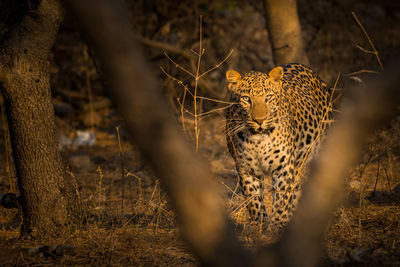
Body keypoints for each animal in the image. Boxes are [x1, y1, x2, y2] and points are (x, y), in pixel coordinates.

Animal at [225, 62, 332, 228]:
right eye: (246, 99)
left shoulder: (283, 168)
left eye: (268, 97)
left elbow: (282, 202)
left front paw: (278, 226)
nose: (260, 120)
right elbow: (255, 202)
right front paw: (260, 227)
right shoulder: (246, 170)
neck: (257, 142)